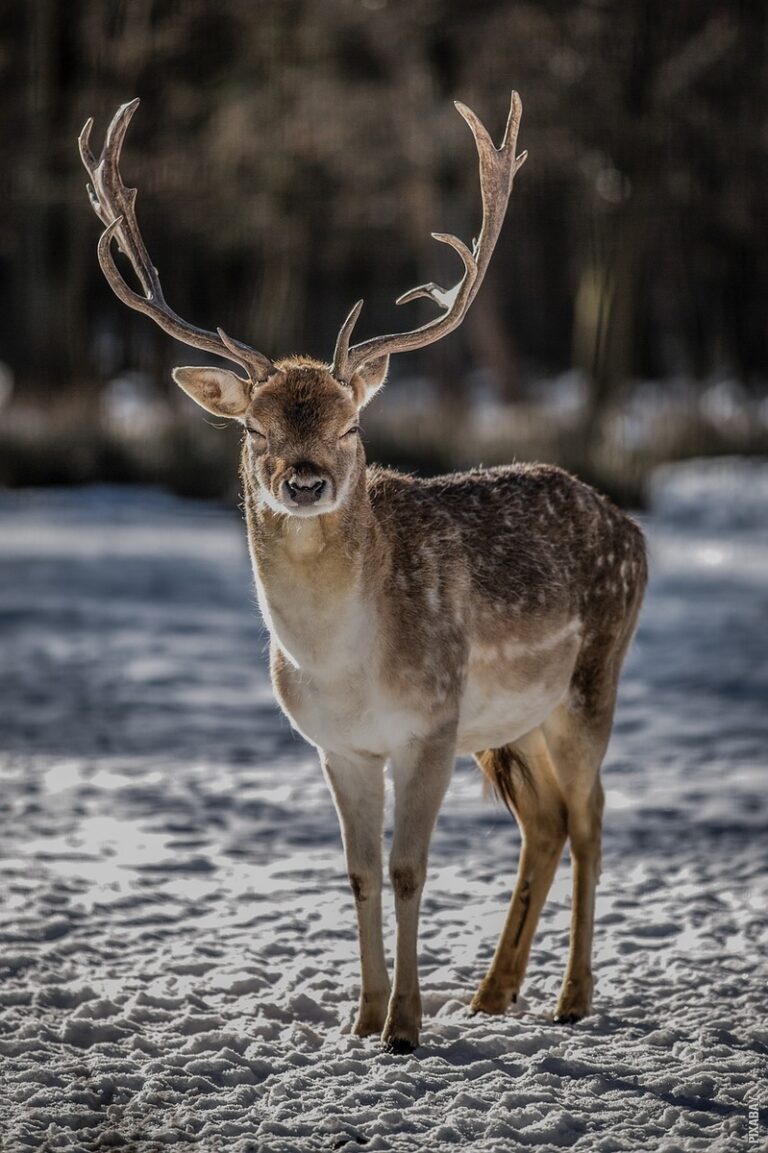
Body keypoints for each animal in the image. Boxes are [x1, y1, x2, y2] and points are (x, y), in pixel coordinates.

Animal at [80, 92, 645, 1056]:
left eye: (350, 425)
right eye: (255, 428)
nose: (305, 478)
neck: (345, 665)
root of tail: (634, 527)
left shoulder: (428, 724)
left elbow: (411, 867)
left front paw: (406, 1026)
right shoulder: (337, 745)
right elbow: (358, 872)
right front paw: (363, 1016)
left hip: (588, 684)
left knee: (593, 818)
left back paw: (571, 998)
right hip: (512, 722)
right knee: (546, 822)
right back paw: (492, 993)